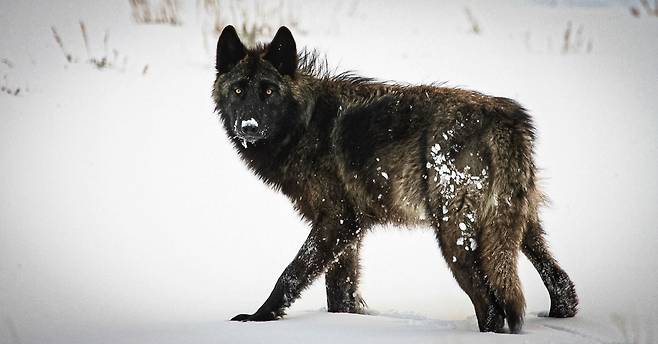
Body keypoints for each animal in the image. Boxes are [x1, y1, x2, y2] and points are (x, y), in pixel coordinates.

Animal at [211, 24, 576, 334]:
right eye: (239, 90)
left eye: (268, 91)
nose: (248, 125)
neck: (305, 124)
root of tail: (505, 119)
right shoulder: (350, 233)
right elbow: (339, 294)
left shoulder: (336, 222)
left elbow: (291, 274)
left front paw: (257, 318)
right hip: (517, 227)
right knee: (562, 284)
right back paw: (559, 313)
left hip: (454, 237)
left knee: (492, 307)